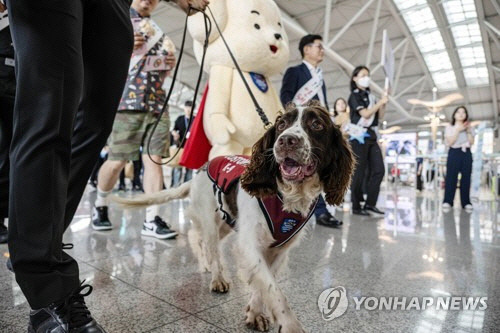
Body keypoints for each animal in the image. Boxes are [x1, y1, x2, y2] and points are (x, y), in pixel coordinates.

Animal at [115, 102, 354, 332]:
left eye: (317, 125)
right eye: (281, 125)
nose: (286, 141)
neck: (286, 196)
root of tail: (199, 172)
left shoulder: (279, 249)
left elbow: (264, 283)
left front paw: (254, 313)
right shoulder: (250, 243)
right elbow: (273, 290)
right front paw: (289, 325)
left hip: (227, 222)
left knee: (199, 238)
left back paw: (207, 265)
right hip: (211, 219)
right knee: (206, 242)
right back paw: (217, 277)